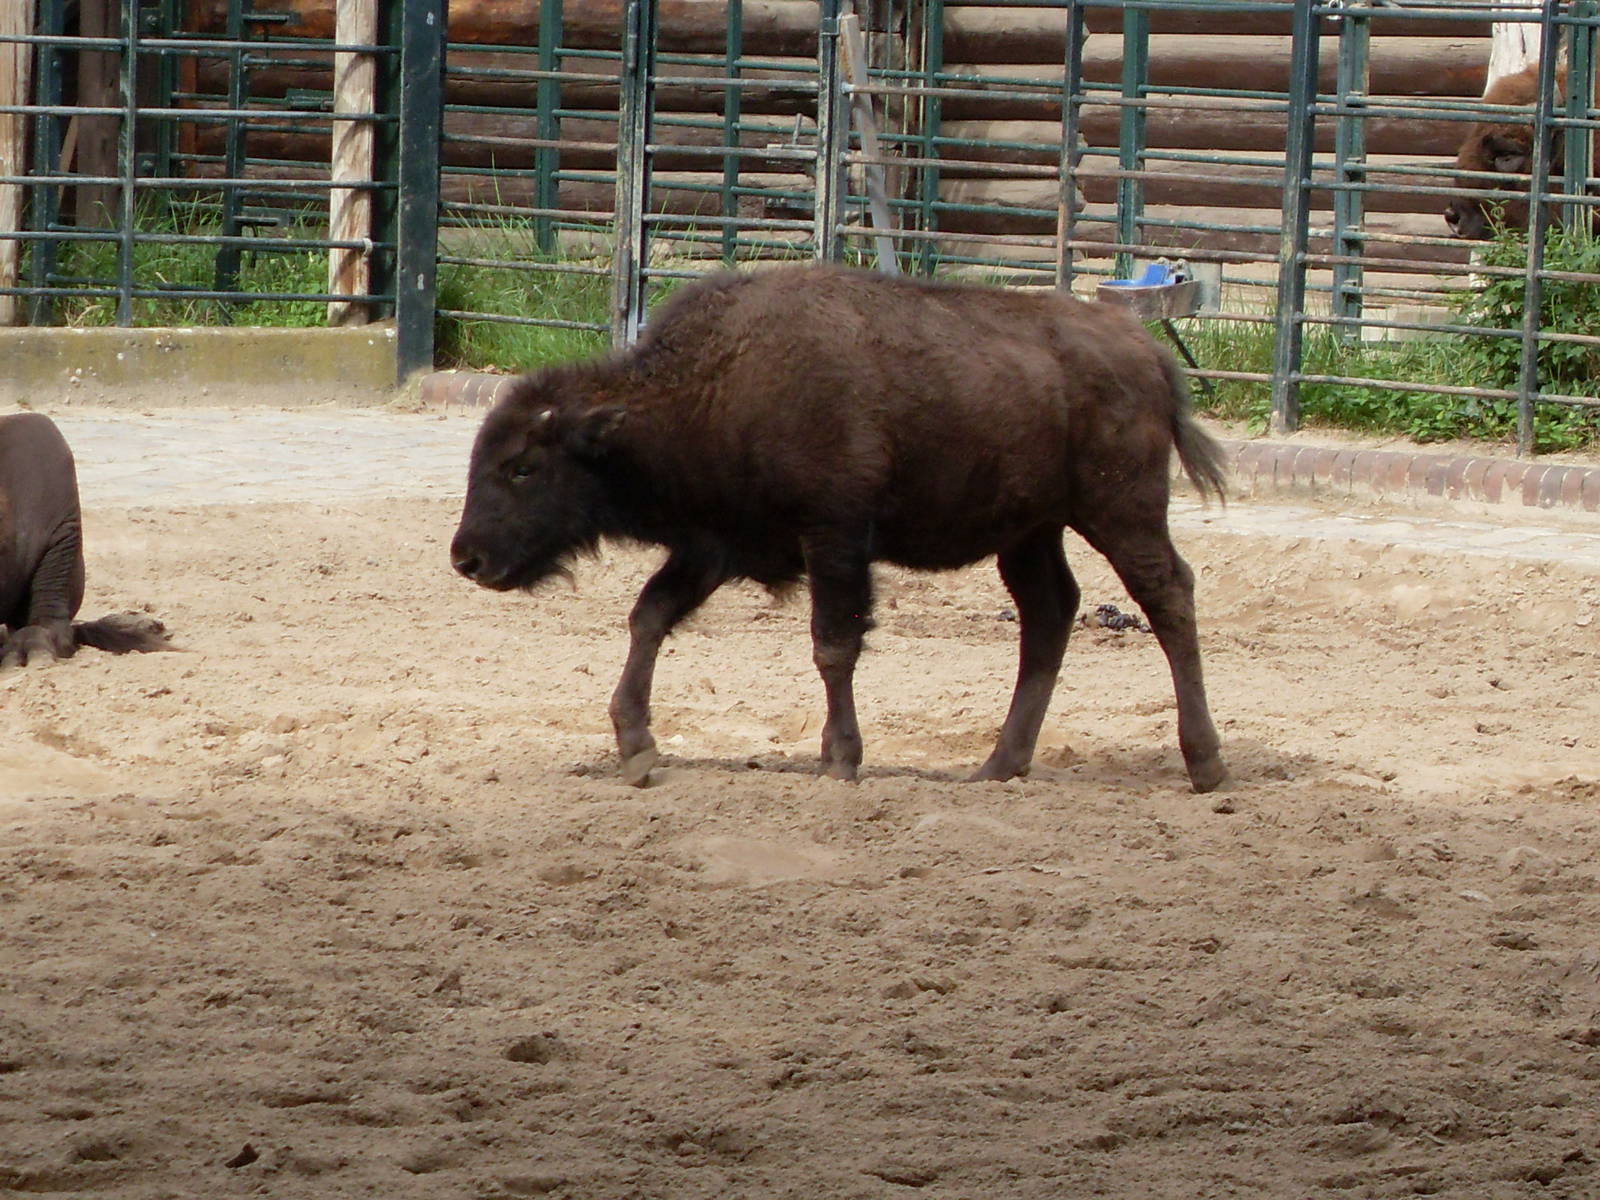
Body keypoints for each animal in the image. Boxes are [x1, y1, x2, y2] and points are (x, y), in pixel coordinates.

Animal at [450, 264, 1230, 793]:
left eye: (522, 466)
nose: (468, 558)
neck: (714, 385)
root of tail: (1146, 352)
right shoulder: (713, 545)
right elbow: (651, 616)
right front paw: (637, 747)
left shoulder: (834, 537)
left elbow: (833, 645)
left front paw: (839, 759)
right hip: (1030, 532)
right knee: (1049, 613)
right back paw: (998, 766)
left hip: (1119, 511)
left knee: (1168, 595)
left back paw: (1206, 764)